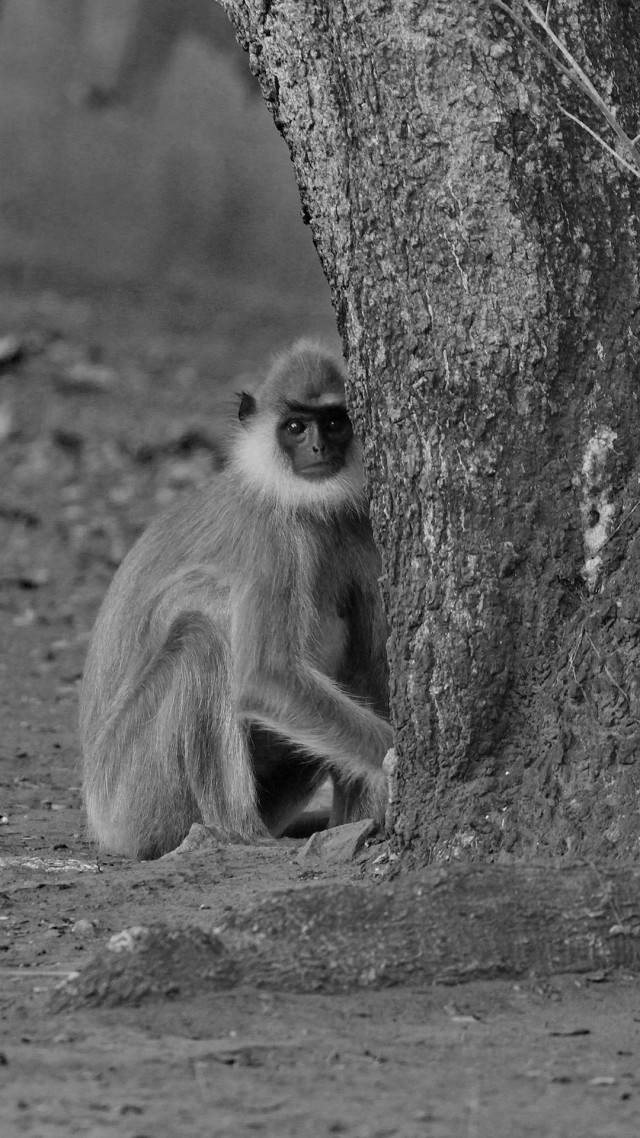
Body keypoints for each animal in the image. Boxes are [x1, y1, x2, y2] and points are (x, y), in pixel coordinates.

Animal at [80, 340, 392, 860]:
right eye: (295, 427)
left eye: (333, 422)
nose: (319, 448)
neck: (297, 500)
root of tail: (99, 818)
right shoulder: (269, 536)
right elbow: (266, 677)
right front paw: (398, 758)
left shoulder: (359, 525)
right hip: (128, 794)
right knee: (201, 642)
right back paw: (237, 834)